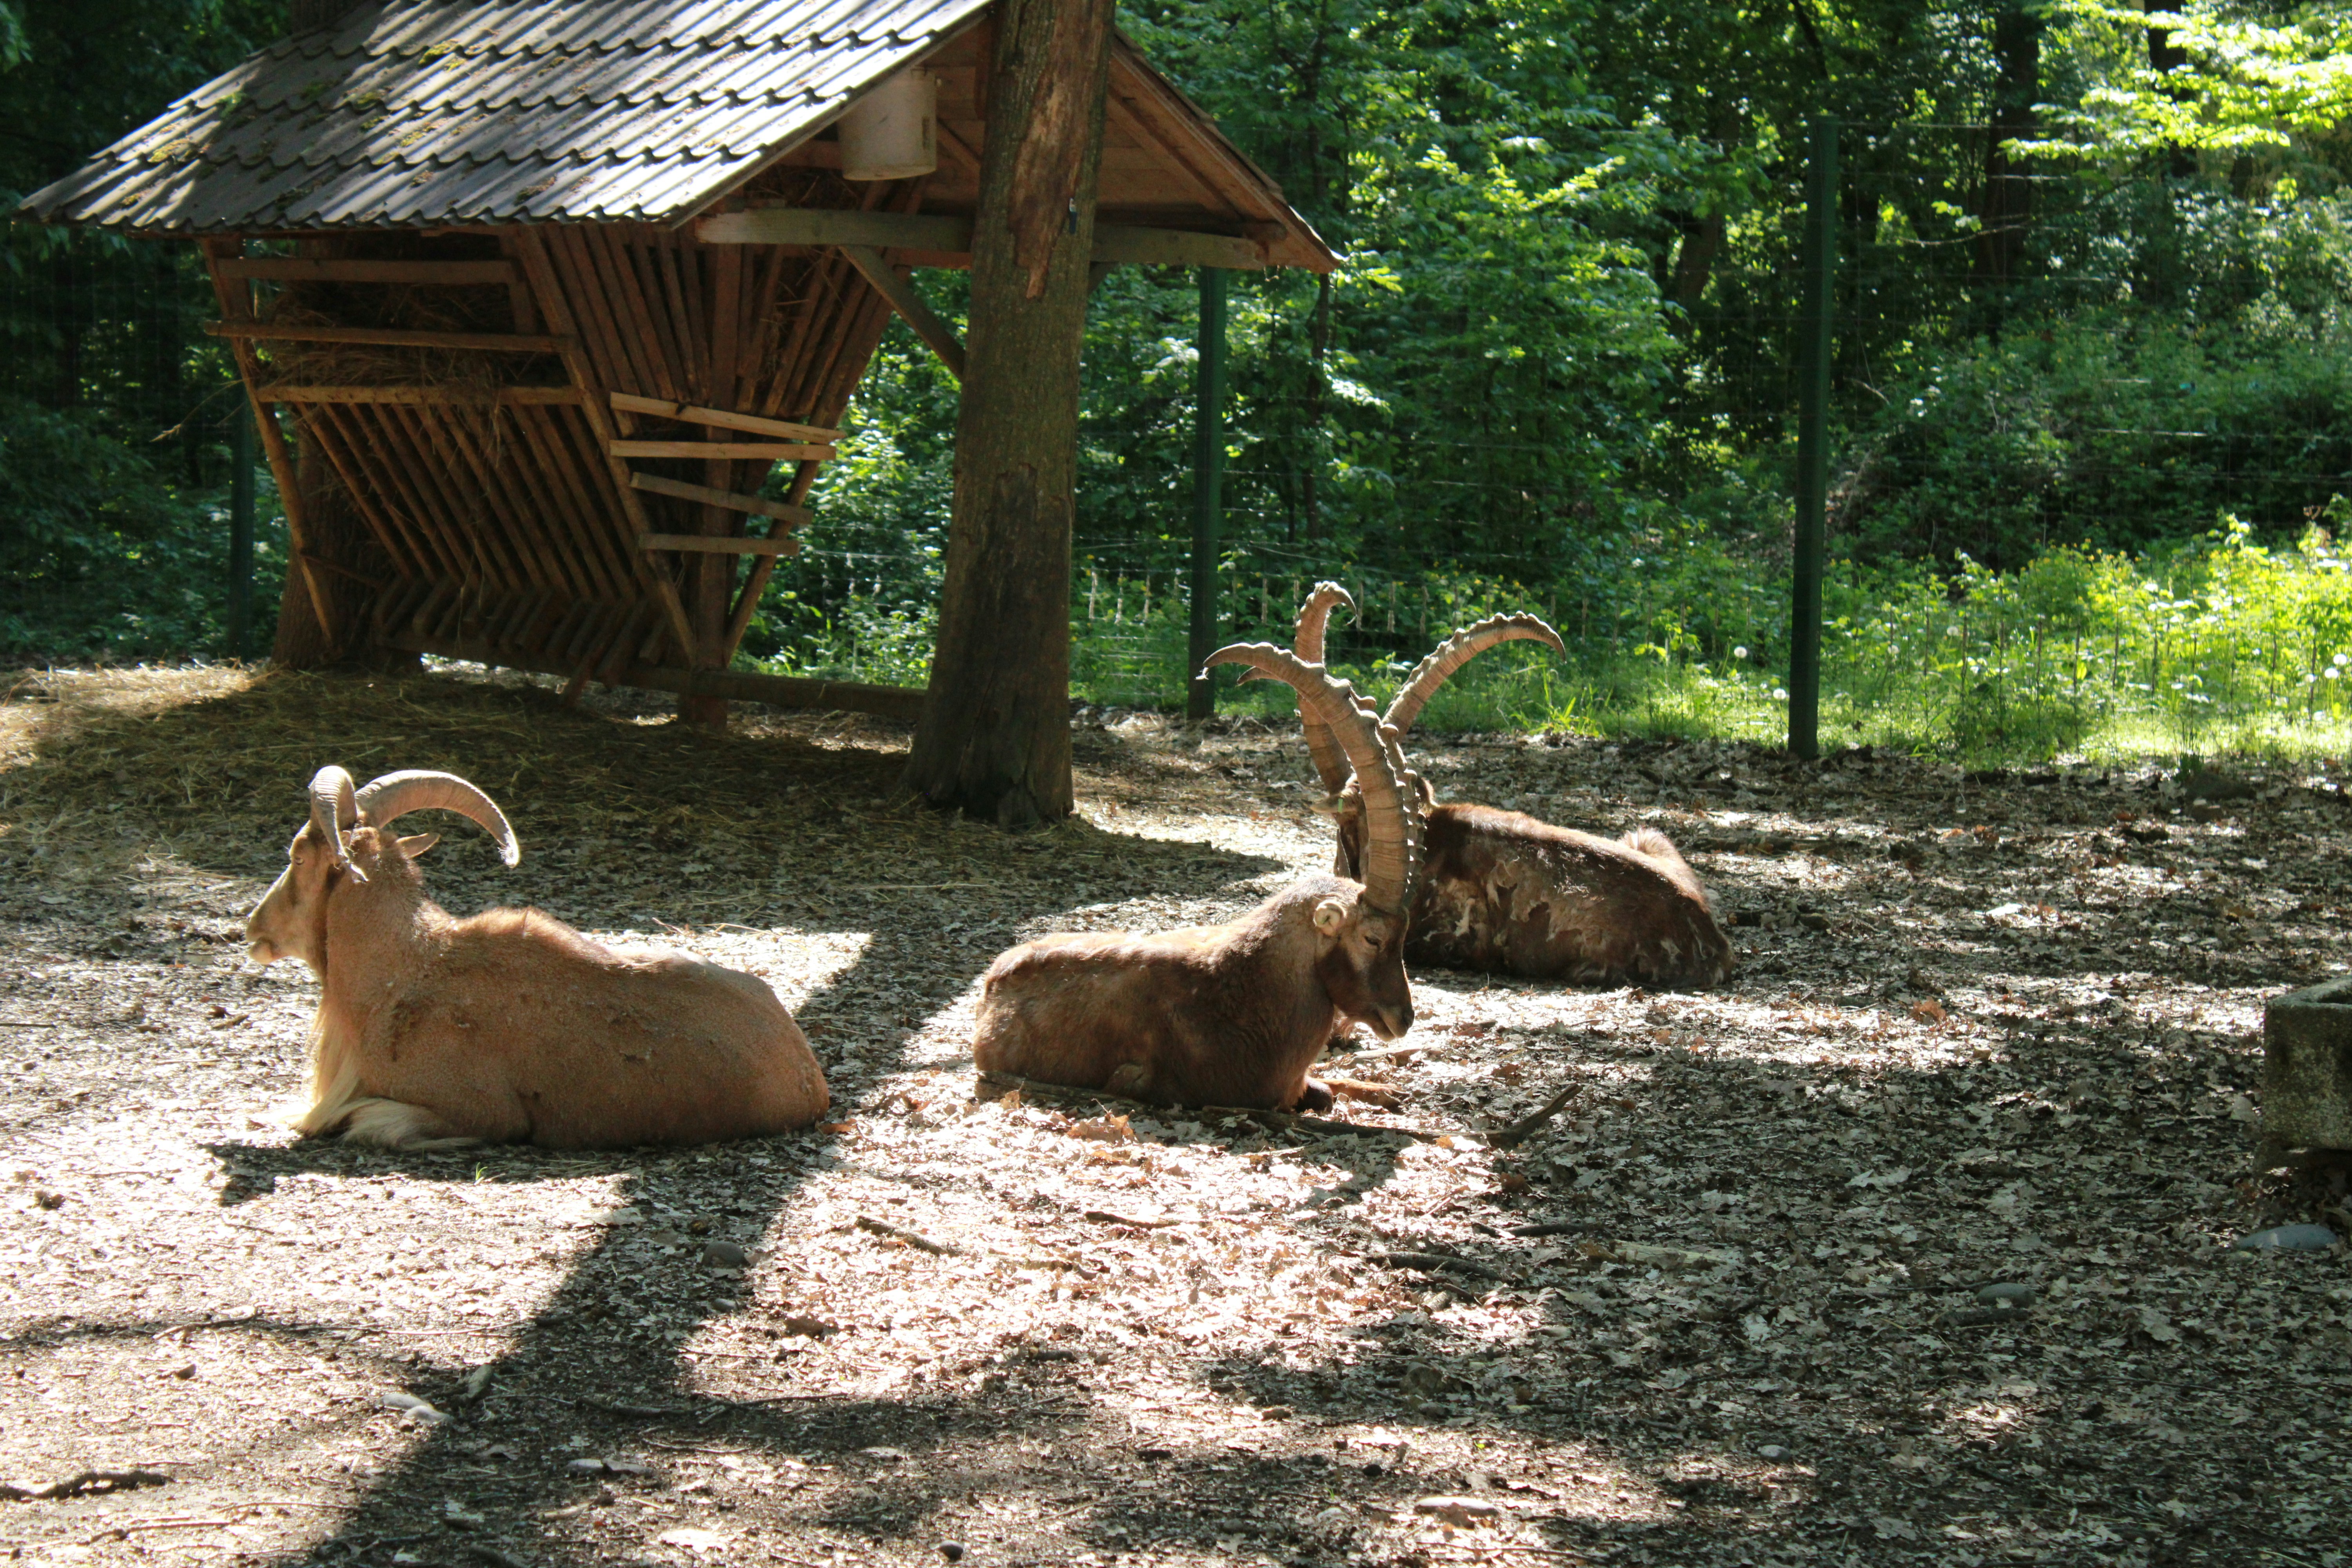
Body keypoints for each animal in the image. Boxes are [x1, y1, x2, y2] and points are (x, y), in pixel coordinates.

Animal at [245, 767, 828, 1149]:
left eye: (299, 855)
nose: (253, 928)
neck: (400, 977)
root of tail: (809, 1077)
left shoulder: (479, 1111)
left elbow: (370, 1122)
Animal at [973, 646, 1424, 1112]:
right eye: (1372, 938)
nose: (1404, 1018)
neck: (1249, 984)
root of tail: (991, 988)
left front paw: (1388, 1091)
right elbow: (1322, 1094)